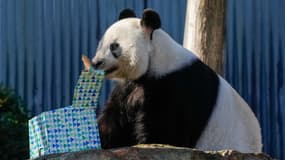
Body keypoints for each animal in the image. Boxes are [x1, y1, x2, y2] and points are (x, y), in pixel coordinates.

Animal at [91, 8, 262, 152]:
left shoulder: (175, 87)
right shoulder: (129, 87)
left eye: (114, 46)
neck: (156, 60)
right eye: (100, 44)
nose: (96, 62)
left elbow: (167, 131)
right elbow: (114, 119)